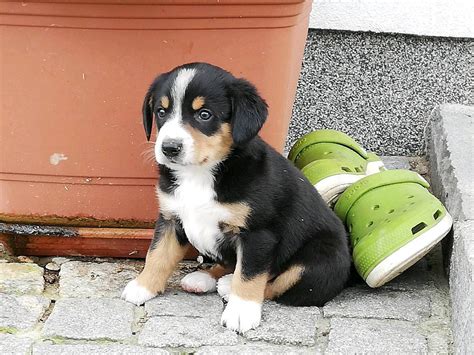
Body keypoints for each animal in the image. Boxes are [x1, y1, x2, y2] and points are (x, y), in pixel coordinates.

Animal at [122, 63, 352, 334]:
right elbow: (157, 255)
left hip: (318, 261)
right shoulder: (170, 218)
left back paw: (227, 285)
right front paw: (142, 286)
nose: (169, 148)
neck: (200, 174)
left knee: (280, 284)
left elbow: (250, 274)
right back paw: (204, 278)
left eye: (205, 115)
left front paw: (241, 311)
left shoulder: (257, 233)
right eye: (161, 111)